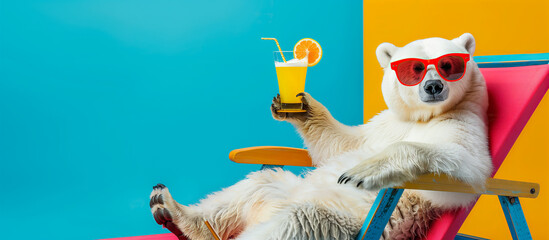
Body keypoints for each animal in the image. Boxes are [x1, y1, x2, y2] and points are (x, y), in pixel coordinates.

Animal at [150, 33, 492, 240]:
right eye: (414, 69)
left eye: (449, 65)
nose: (433, 87)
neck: (421, 116)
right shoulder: (384, 124)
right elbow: (341, 143)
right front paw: (296, 105)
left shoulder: (462, 124)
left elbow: (463, 170)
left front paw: (362, 171)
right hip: (278, 192)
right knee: (253, 186)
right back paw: (172, 211)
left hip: (342, 221)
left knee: (298, 219)